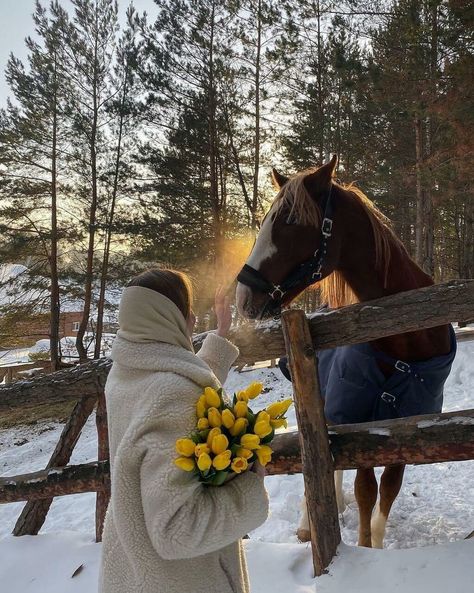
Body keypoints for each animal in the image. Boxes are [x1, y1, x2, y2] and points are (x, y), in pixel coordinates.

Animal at [235, 156, 454, 544]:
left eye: (291, 221)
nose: (243, 297)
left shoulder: (408, 422)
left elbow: (388, 491)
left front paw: (375, 544)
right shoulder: (361, 418)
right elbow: (365, 492)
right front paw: (363, 547)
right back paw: (308, 523)